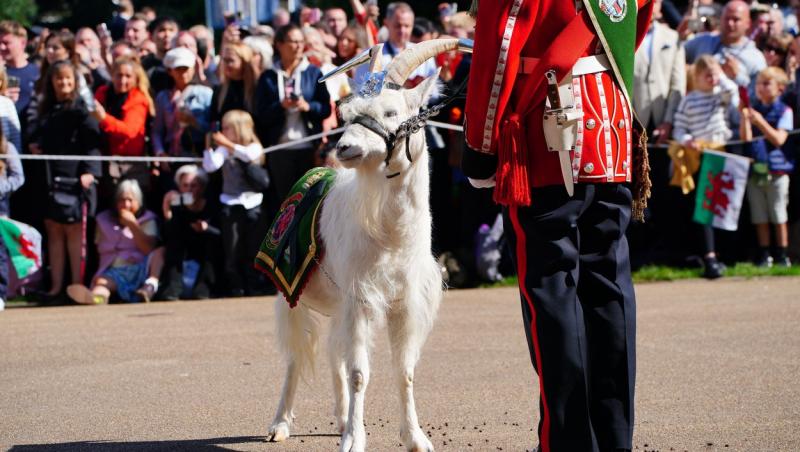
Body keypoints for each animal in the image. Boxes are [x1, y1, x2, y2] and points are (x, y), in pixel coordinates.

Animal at [266, 39, 460, 452]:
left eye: (391, 112)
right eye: (349, 114)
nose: (344, 147)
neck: (392, 236)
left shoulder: (402, 301)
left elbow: (404, 371)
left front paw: (416, 437)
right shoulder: (360, 296)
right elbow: (359, 373)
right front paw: (355, 440)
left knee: (332, 353)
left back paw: (340, 418)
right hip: (292, 295)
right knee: (295, 357)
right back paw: (280, 424)